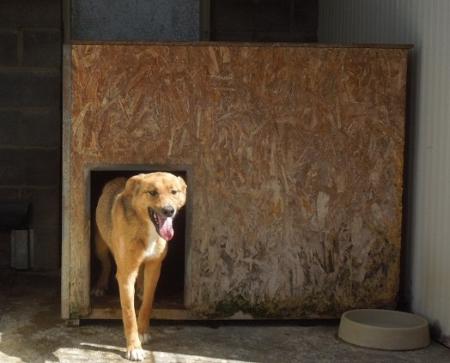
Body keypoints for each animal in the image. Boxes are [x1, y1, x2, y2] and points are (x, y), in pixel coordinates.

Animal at [94, 173, 187, 362]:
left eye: (174, 192)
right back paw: (100, 286)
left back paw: (140, 290)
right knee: (106, 264)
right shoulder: (126, 275)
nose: (169, 210)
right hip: (100, 246)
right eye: (152, 192)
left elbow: (147, 303)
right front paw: (134, 347)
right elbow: (129, 315)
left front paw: (143, 331)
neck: (148, 229)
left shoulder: (154, 267)